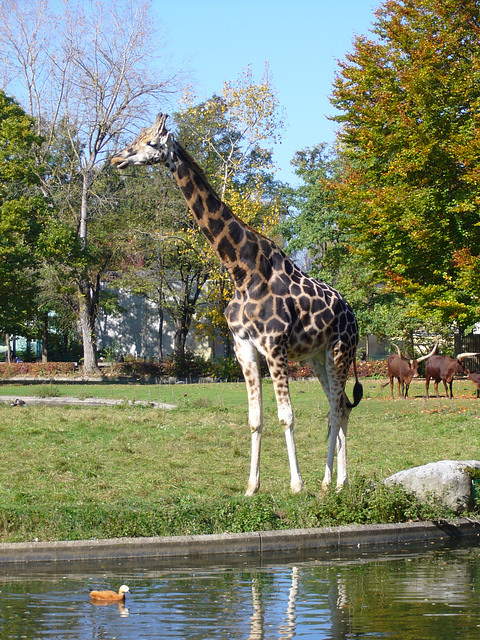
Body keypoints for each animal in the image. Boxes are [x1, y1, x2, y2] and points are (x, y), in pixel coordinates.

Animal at [110, 114, 362, 496]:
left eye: (151, 143)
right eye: (136, 139)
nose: (117, 159)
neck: (241, 270)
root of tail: (354, 316)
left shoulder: (274, 345)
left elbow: (286, 416)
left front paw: (295, 485)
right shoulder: (243, 346)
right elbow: (255, 419)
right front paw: (252, 487)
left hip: (339, 351)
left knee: (338, 408)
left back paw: (335, 482)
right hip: (317, 357)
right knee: (342, 405)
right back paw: (331, 481)